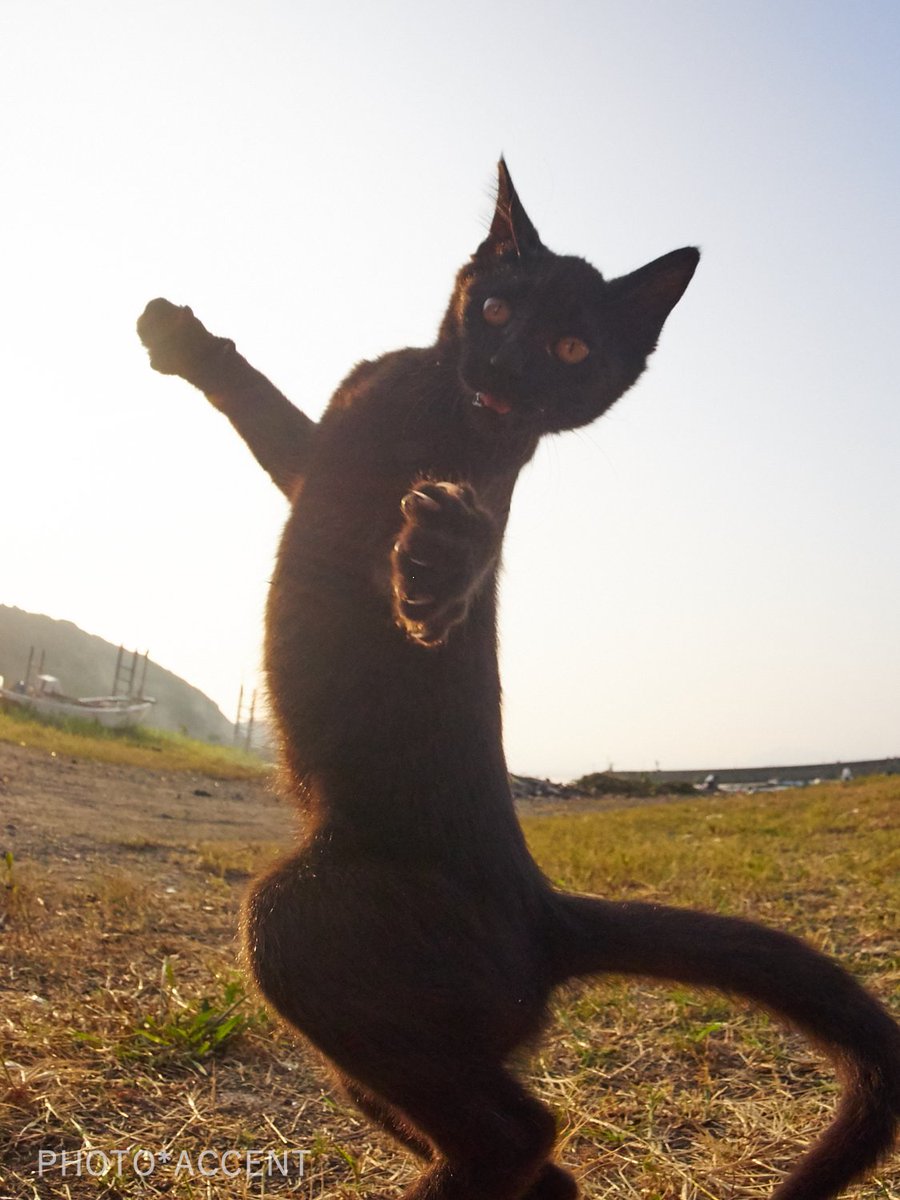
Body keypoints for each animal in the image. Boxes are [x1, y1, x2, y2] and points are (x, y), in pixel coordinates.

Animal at [137, 162, 897, 1200]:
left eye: (572, 346)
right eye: (495, 307)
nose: (502, 370)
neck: (431, 397)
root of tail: (546, 916)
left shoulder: (424, 499)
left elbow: (458, 551)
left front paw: (438, 569)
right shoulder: (317, 459)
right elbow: (267, 414)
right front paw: (187, 343)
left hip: (301, 926)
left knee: (521, 1130)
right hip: (383, 1053)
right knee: (533, 1156)